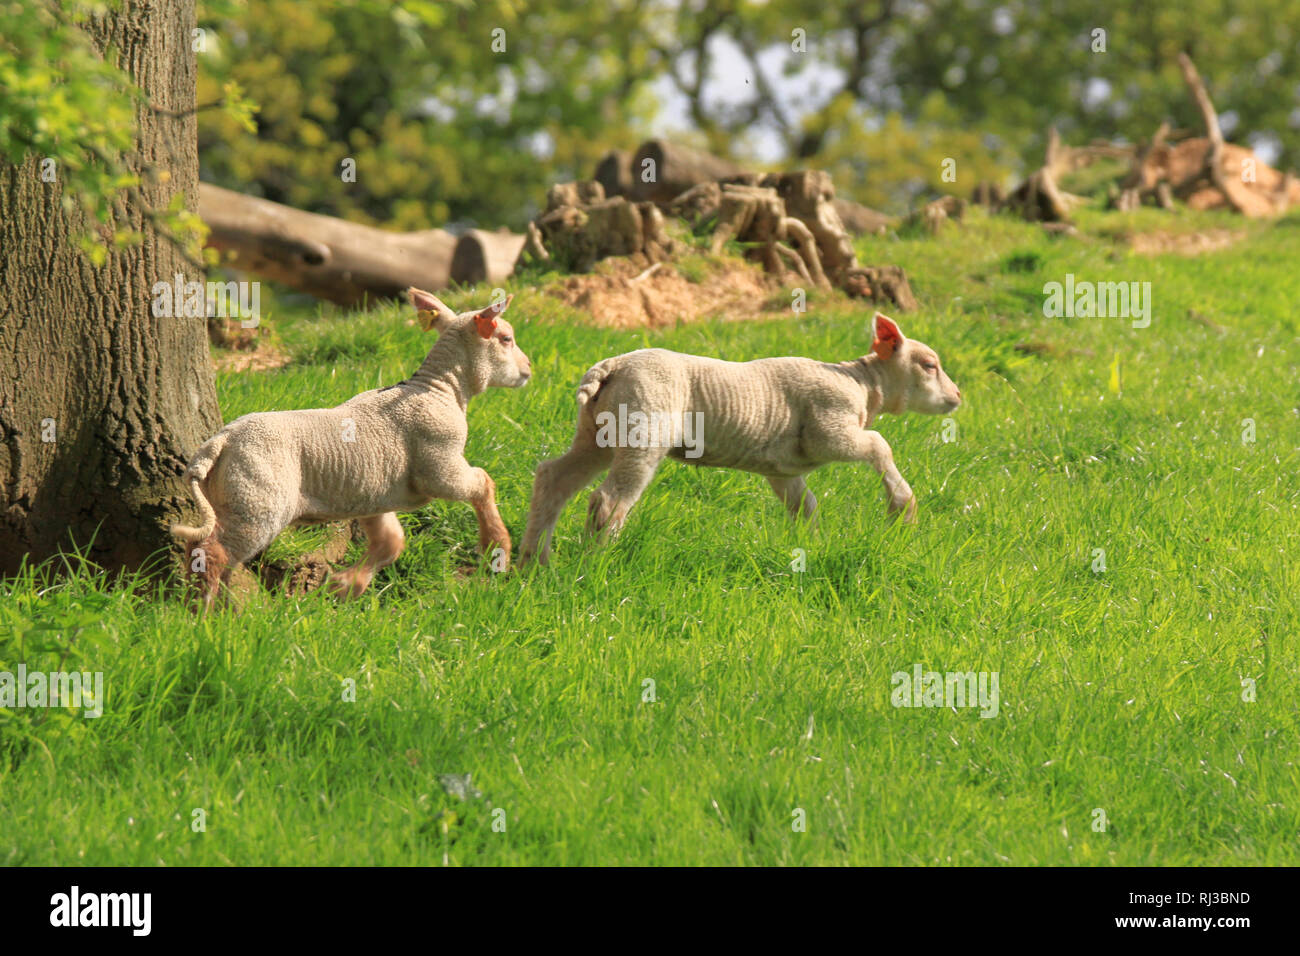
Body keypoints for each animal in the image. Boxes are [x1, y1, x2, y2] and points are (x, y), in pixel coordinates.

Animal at [171, 287, 527, 608]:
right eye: (506, 338)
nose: (528, 370)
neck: (441, 389)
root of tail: (218, 443)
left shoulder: (374, 495)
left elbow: (390, 543)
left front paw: (343, 587)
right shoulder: (441, 465)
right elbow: (483, 483)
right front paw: (498, 548)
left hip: (227, 499)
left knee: (199, 549)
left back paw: (217, 609)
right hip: (257, 500)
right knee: (214, 553)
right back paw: (204, 615)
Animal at [514, 314, 956, 564]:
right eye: (929, 365)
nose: (957, 397)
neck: (863, 387)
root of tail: (611, 365)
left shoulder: (783, 469)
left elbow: (805, 506)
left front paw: (810, 545)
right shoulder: (832, 430)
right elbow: (881, 443)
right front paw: (902, 509)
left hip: (597, 433)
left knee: (553, 479)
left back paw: (535, 560)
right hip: (644, 428)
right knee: (608, 500)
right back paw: (595, 564)